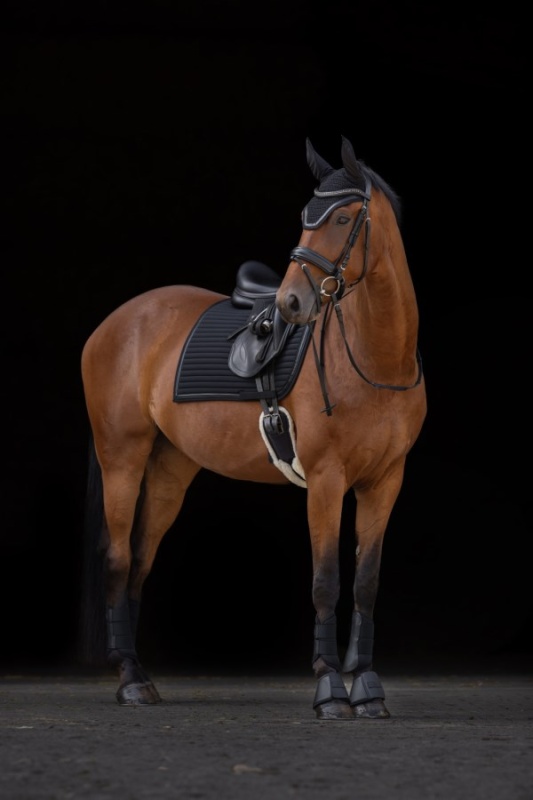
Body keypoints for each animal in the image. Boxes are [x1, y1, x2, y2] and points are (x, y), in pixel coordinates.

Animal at [80, 135, 427, 720]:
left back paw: (141, 673)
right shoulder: (326, 482)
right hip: (121, 459)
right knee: (118, 557)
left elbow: (366, 583)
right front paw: (330, 687)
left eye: (342, 217)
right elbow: (327, 582)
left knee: (141, 560)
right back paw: (129, 680)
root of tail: (113, 323)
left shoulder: (385, 483)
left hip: (170, 469)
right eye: (305, 217)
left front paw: (367, 688)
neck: (377, 359)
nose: (290, 303)